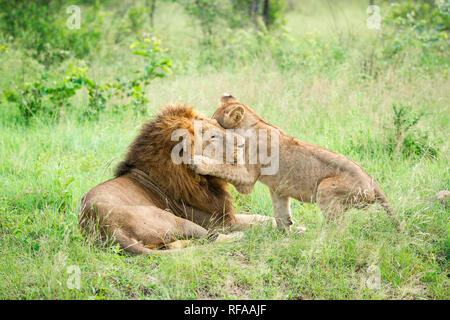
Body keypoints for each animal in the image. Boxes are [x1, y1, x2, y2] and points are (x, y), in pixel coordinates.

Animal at [79, 104, 272, 254]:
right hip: (178, 221)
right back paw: (239, 237)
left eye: (220, 125)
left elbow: (258, 216)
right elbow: (254, 222)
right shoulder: (219, 222)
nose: (243, 143)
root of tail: (108, 227)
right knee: (212, 237)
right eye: (213, 136)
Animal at [190, 94, 400, 231]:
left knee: (342, 230)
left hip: (326, 188)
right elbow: (281, 214)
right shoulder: (278, 189)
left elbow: (222, 167)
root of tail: (372, 182)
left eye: (214, 124)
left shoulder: (247, 179)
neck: (253, 124)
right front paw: (283, 236)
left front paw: (198, 162)